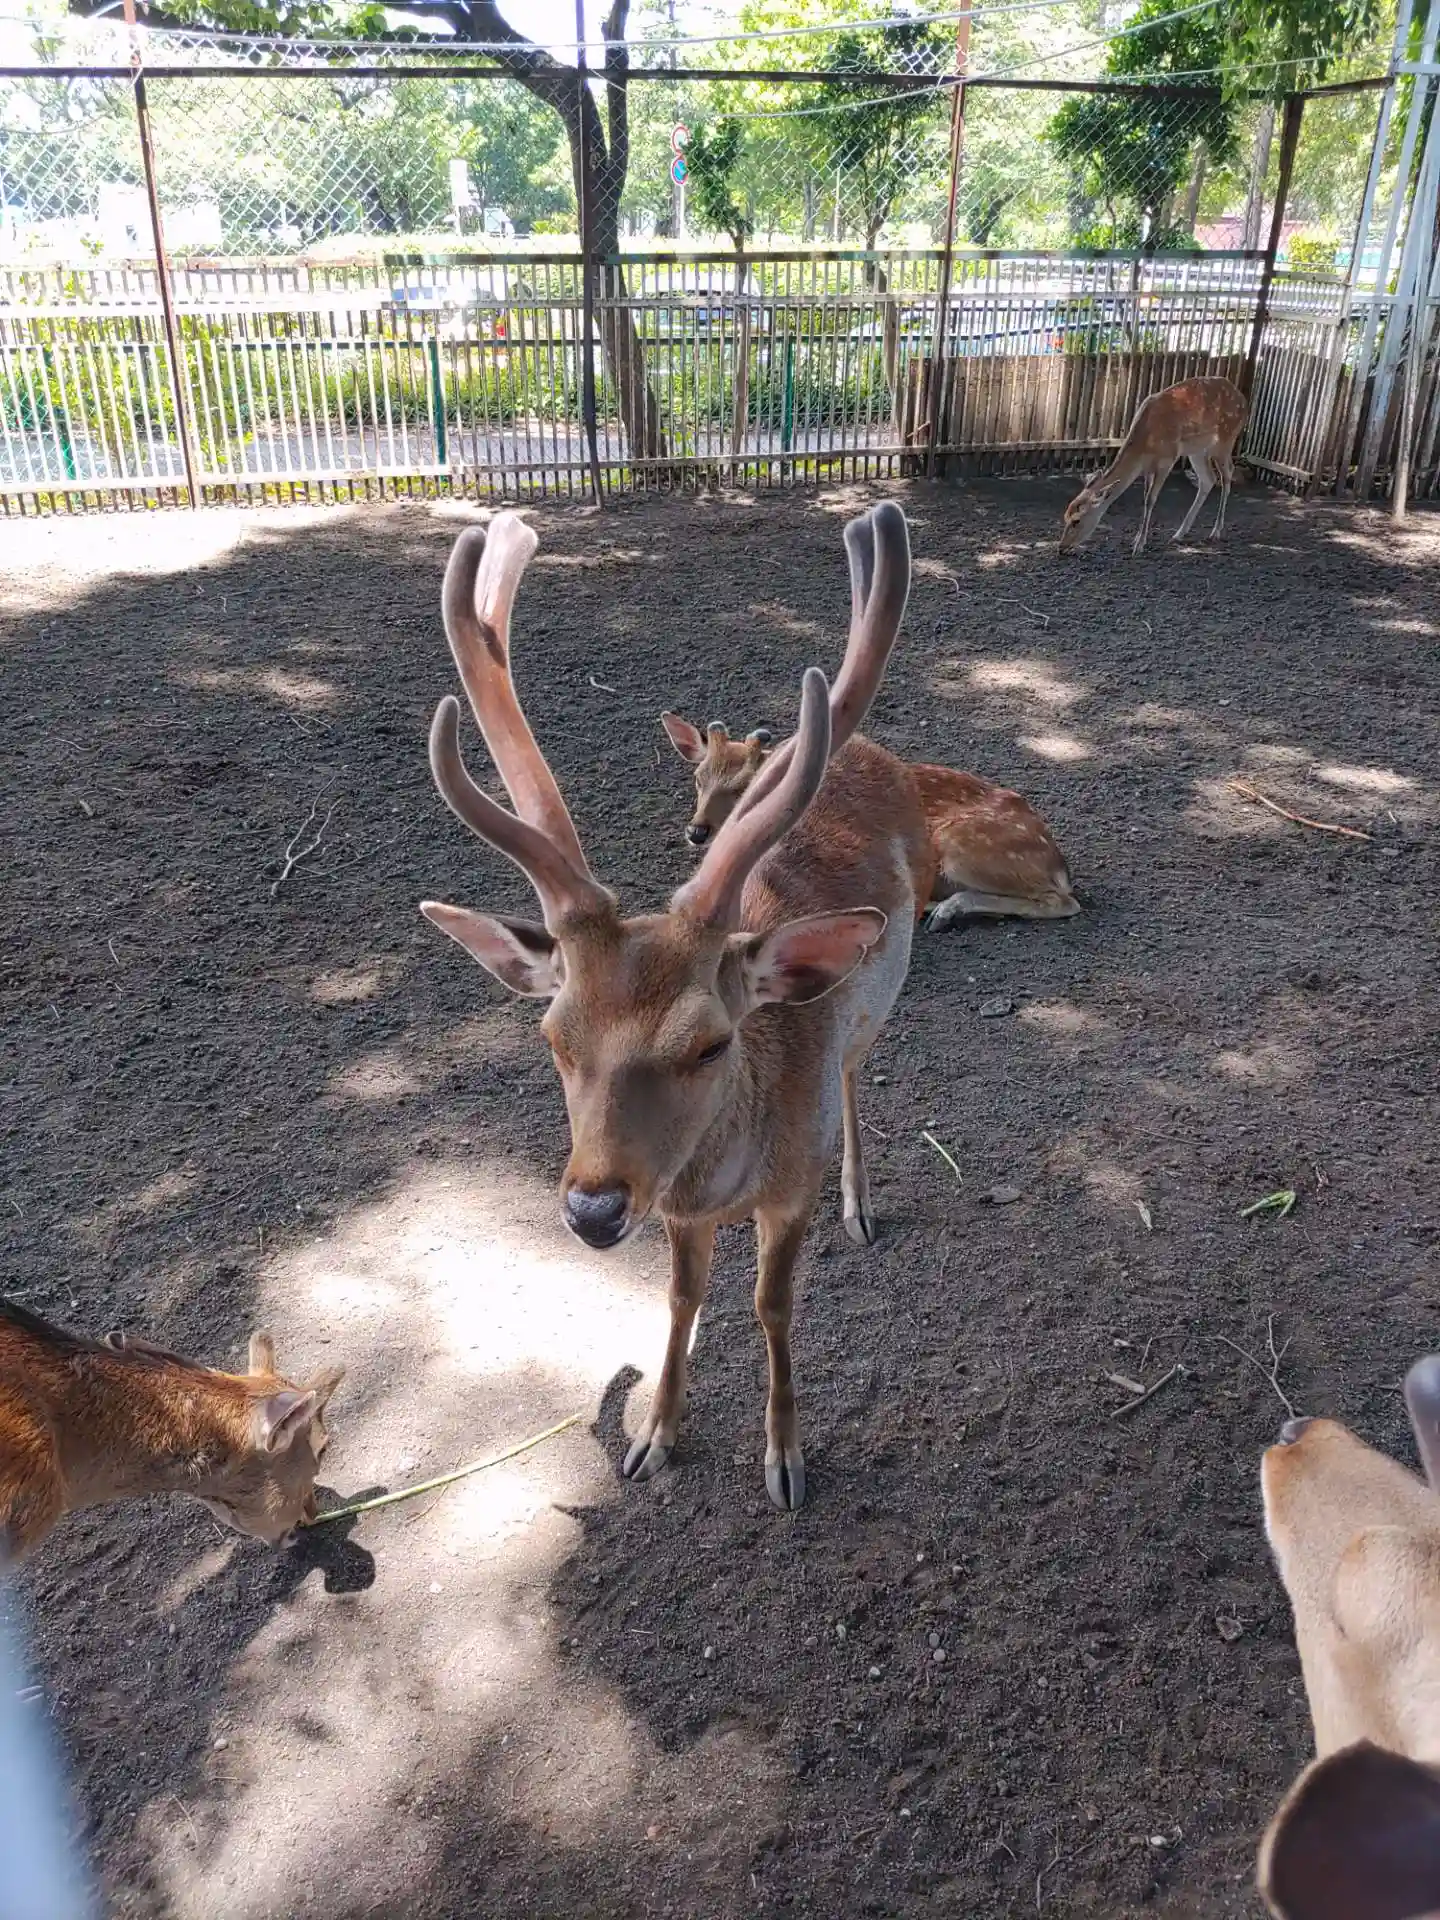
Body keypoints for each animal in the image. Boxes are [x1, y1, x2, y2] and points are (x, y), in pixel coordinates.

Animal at [420, 504, 929, 1509]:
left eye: (709, 1044)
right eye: (554, 1037)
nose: (592, 1210)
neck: (724, 1186)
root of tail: (865, 748)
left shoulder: (788, 1190)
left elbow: (773, 1306)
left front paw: (784, 1459)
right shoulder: (678, 1214)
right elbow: (682, 1299)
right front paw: (653, 1435)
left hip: (875, 1007)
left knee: (857, 1074)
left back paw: (862, 1202)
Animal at [660, 713, 1079, 930]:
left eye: (746, 787)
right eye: (698, 778)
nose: (697, 831)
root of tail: (1058, 863)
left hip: (964, 845)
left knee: (1063, 902)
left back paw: (943, 910)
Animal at [1059, 375, 1248, 557]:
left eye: (1076, 520)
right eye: (1065, 515)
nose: (1061, 547)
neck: (1145, 443)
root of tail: (1242, 398)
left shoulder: (1167, 458)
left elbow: (1151, 499)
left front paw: (1139, 545)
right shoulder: (1147, 467)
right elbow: (1145, 497)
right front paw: (1136, 539)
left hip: (1225, 439)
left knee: (1227, 474)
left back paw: (1215, 532)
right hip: (1197, 450)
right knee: (1208, 479)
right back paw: (1179, 534)